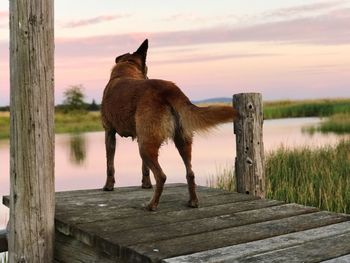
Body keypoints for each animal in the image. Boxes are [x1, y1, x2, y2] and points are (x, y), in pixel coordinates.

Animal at [100, 39, 238, 212]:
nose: (147, 76)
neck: (124, 71)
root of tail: (170, 88)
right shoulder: (138, 135)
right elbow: (144, 169)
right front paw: (146, 185)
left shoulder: (109, 133)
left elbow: (109, 165)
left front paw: (108, 186)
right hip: (181, 141)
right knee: (190, 173)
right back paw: (193, 202)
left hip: (146, 145)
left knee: (161, 176)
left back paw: (152, 205)